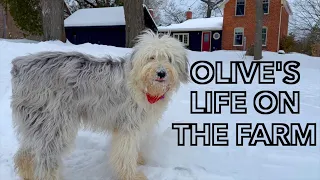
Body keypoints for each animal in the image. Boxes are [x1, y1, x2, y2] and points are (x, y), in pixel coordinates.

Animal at [11, 29, 189, 180]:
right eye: (151, 57)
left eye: (169, 59)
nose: (161, 73)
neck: (142, 84)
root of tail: (20, 65)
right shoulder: (128, 126)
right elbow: (125, 154)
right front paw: (132, 175)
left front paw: (138, 159)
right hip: (55, 124)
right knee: (46, 158)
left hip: (36, 123)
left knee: (25, 153)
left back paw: (27, 174)